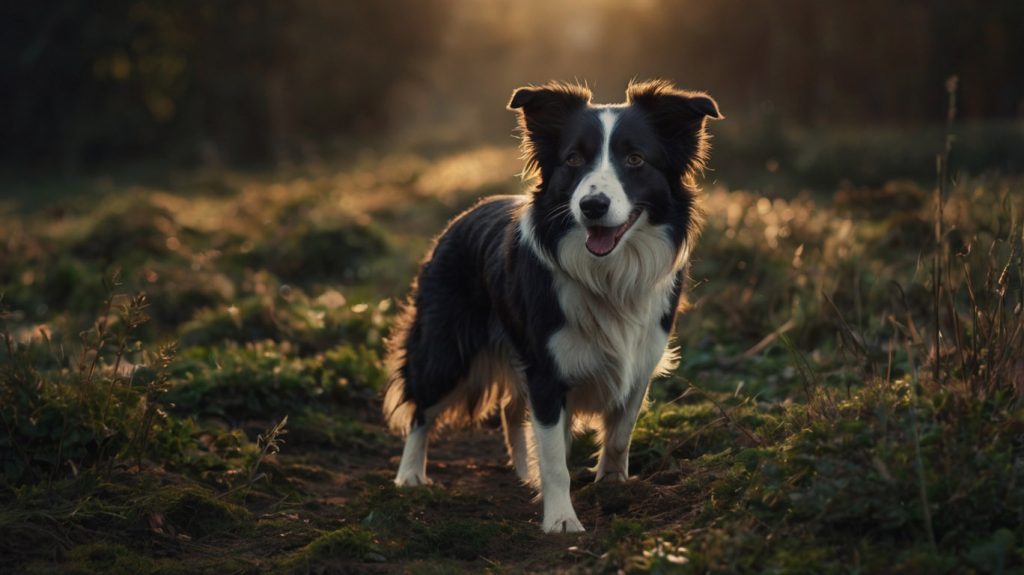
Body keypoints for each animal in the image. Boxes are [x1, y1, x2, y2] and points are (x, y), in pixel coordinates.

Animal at [382, 78, 720, 532]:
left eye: (635, 159)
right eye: (573, 159)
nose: (592, 206)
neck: (609, 274)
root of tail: (463, 216)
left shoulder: (639, 362)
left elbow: (619, 435)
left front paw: (612, 487)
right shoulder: (546, 371)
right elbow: (557, 458)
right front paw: (560, 519)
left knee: (511, 409)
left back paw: (527, 474)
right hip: (445, 345)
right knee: (422, 407)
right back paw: (410, 475)